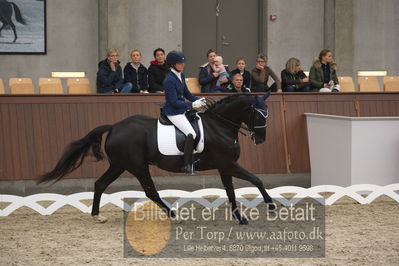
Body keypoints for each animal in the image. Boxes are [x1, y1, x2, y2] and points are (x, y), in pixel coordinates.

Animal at [38, 93, 276, 224]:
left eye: (266, 113)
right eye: (259, 113)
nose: (261, 139)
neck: (220, 126)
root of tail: (114, 126)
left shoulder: (224, 166)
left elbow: (231, 192)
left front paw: (241, 218)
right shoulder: (227, 163)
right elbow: (256, 180)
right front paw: (271, 207)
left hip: (119, 165)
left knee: (100, 184)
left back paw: (97, 216)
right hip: (137, 166)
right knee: (150, 192)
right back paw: (174, 216)